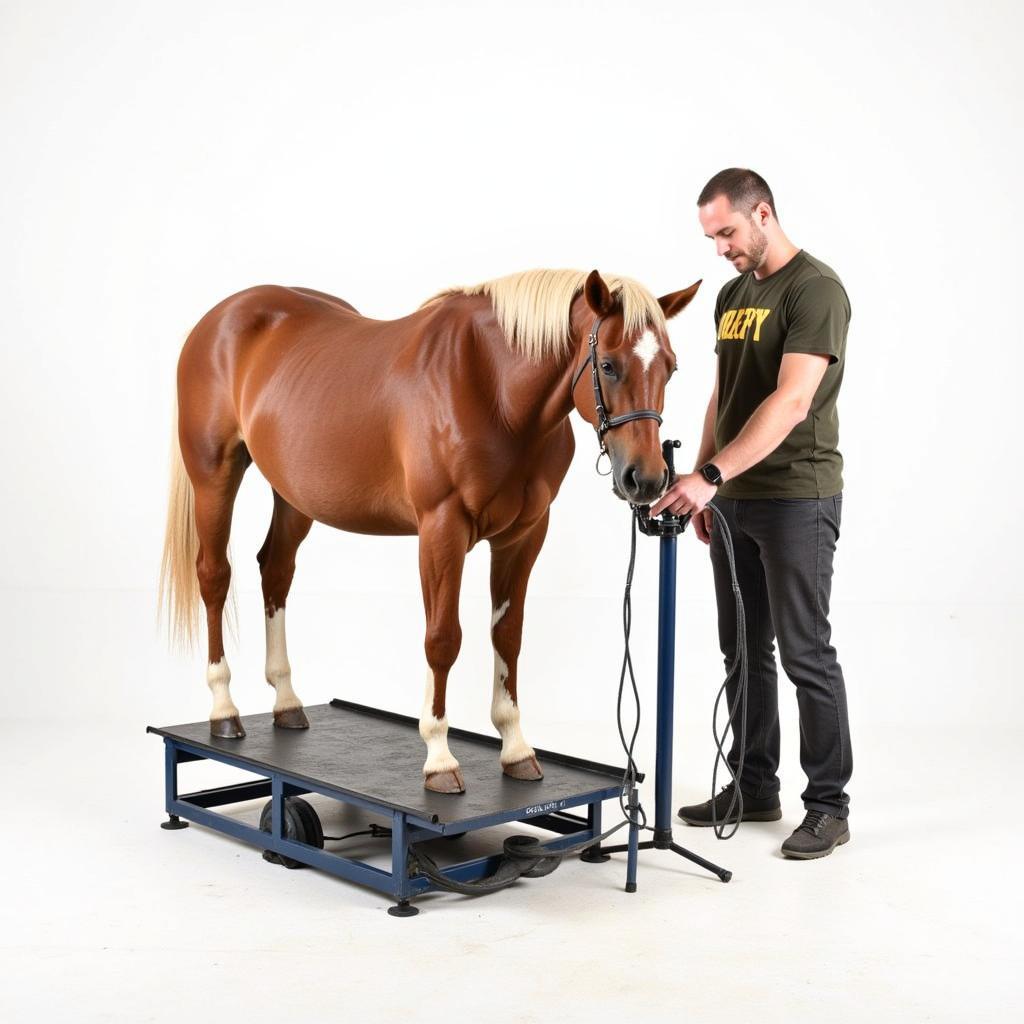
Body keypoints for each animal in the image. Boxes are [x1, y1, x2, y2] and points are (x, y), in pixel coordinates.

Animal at [159, 270, 700, 790]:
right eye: (607, 365)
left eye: (671, 367)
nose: (646, 478)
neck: (494, 390)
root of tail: (219, 318)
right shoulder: (443, 529)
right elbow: (442, 639)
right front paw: (439, 757)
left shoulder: (523, 536)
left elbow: (508, 636)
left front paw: (516, 749)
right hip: (214, 476)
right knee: (215, 576)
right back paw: (224, 709)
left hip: (294, 495)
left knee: (275, 571)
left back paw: (287, 702)